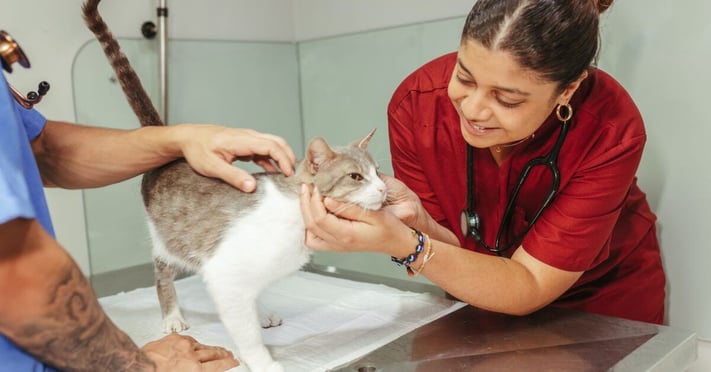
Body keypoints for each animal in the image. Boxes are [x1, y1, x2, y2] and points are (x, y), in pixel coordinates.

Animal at [82, 1, 390, 370]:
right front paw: (263, 361)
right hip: (168, 240)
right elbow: (244, 329)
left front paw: (258, 312)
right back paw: (172, 316)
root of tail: (171, 153)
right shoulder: (224, 270)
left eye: (378, 172)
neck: (294, 214)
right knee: (162, 275)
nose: (384, 190)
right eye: (356, 177)